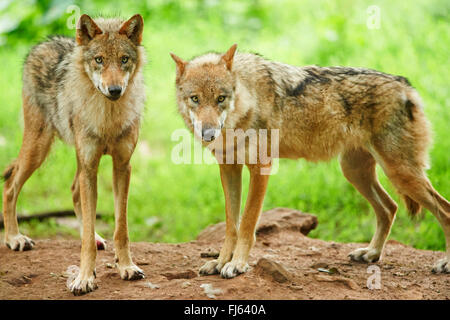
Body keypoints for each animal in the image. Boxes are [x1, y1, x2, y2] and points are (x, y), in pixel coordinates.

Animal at [1, 14, 146, 296]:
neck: (108, 116)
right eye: (99, 60)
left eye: (124, 59)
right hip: (39, 149)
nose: (115, 90)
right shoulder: (91, 166)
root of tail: (44, 43)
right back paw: (14, 238)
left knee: (74, 192)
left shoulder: (122, 166)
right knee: (11, 185)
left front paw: (126, 267)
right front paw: (84, 278)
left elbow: (121, 229)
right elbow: (87, 238)